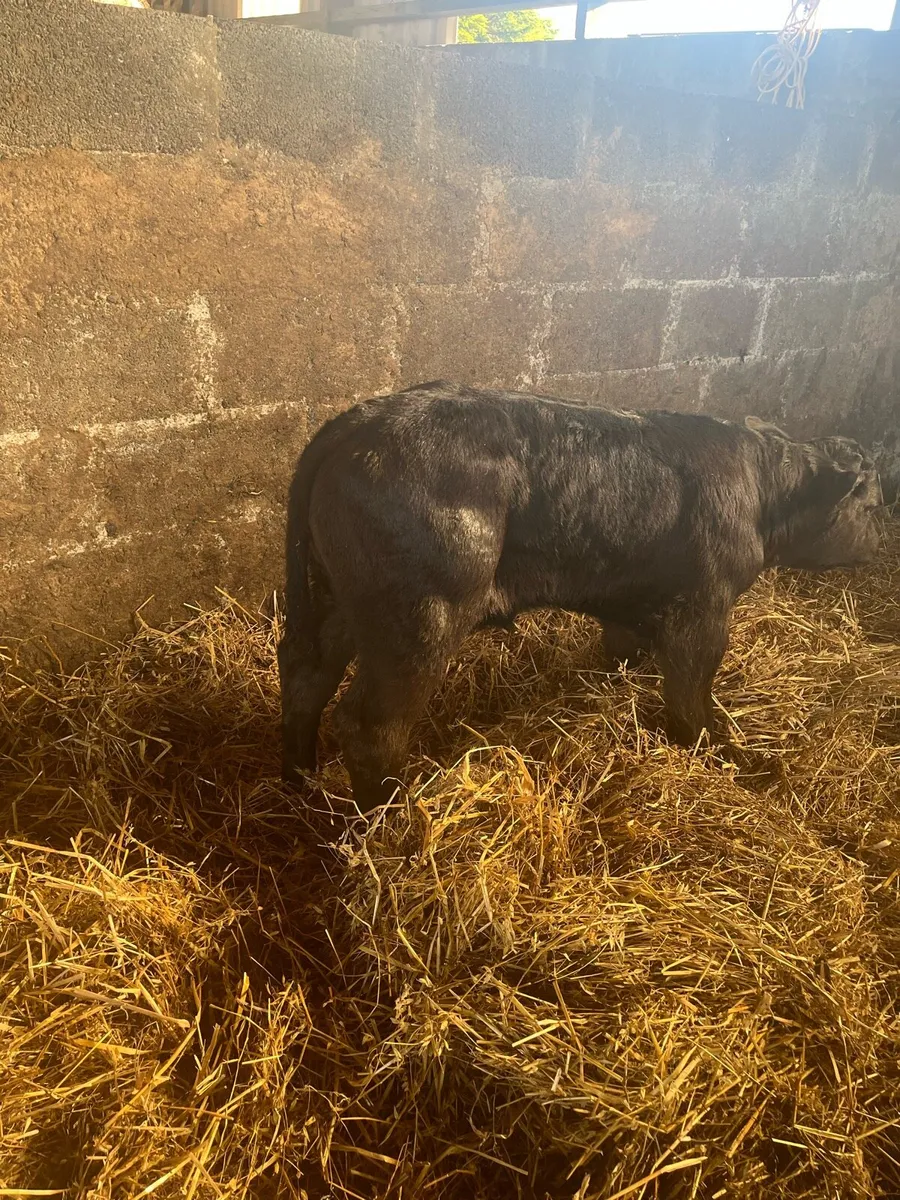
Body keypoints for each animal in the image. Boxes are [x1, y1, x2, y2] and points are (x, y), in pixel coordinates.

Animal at [278, 382, 883, 812]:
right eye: (873, 503)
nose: (881, 538)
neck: (763, 494)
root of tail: (358, 422)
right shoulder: (704, 605)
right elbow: (691, 686)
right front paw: (727, 753)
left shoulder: (633, 601)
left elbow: (622, 650)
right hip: (422, 611)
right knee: (371, 725)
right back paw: (393, 820)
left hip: (339, 598)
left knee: (307, 675)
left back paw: (298, 783)